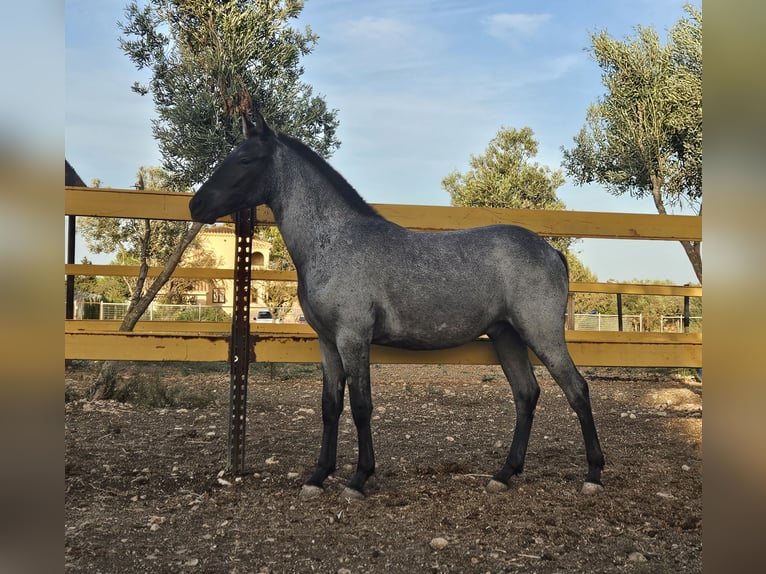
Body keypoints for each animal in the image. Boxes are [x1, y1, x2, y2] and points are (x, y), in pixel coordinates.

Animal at [188, 111, 608, 500]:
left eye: (245, 159)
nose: (196, 205)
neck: (335, 240)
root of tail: (551, 251)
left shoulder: (353, 338)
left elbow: (361, 406)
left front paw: (358, 479)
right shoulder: (327, 343)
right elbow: (329, 406)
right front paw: (318, 476)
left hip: (541, 333)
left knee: (577, 390)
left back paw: (593, 474)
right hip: (506, 335)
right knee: (526, 394)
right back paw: (504, 473)